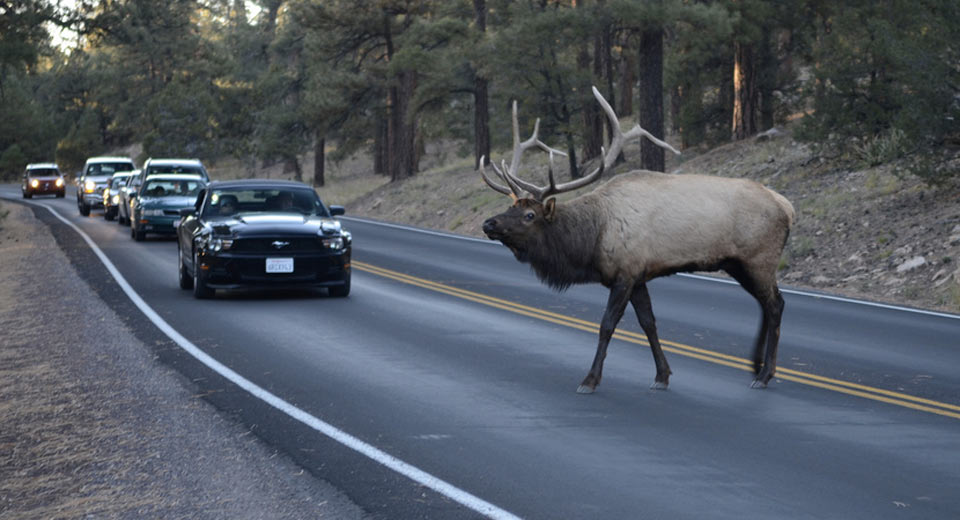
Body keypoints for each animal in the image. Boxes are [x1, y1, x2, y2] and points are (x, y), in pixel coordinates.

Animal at [480, 86, 796, 394]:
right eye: (511, 206)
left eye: (530, 215)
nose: (488, 223)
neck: (592, 240)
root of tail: (787, 207)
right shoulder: (639, 276)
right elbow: (649, 323)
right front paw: (662, 375)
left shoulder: (624, 273)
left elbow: (607, 325)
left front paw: (590, 379)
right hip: (737, 264)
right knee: (766, 305)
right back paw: (756, 367)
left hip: (759, 258)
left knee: (776, 304)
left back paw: (765, 374)